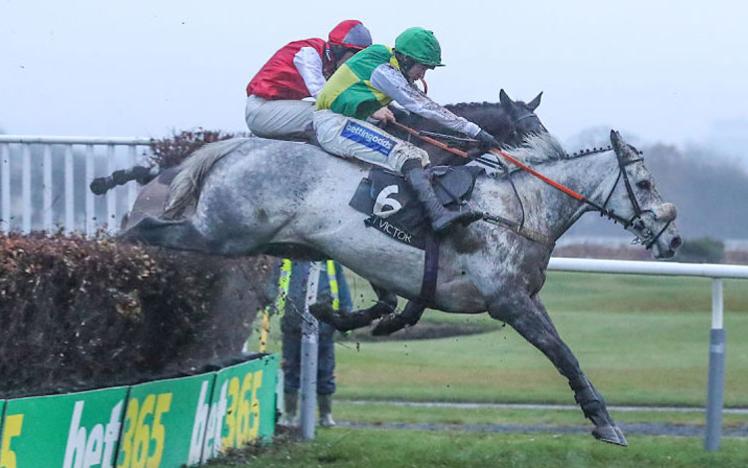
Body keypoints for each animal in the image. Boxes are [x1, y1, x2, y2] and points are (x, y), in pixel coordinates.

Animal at [124, 129, 684, 446]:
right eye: (645, 184)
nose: (675, 239)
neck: (520, 207)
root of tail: (240, 145)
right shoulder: (509, 301)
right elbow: (563, 352)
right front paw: (605, 422)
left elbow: (394, 305)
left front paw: (341, 315)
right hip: (222, 232)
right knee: (146, 231)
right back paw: (125, 258)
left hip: (271, 240)